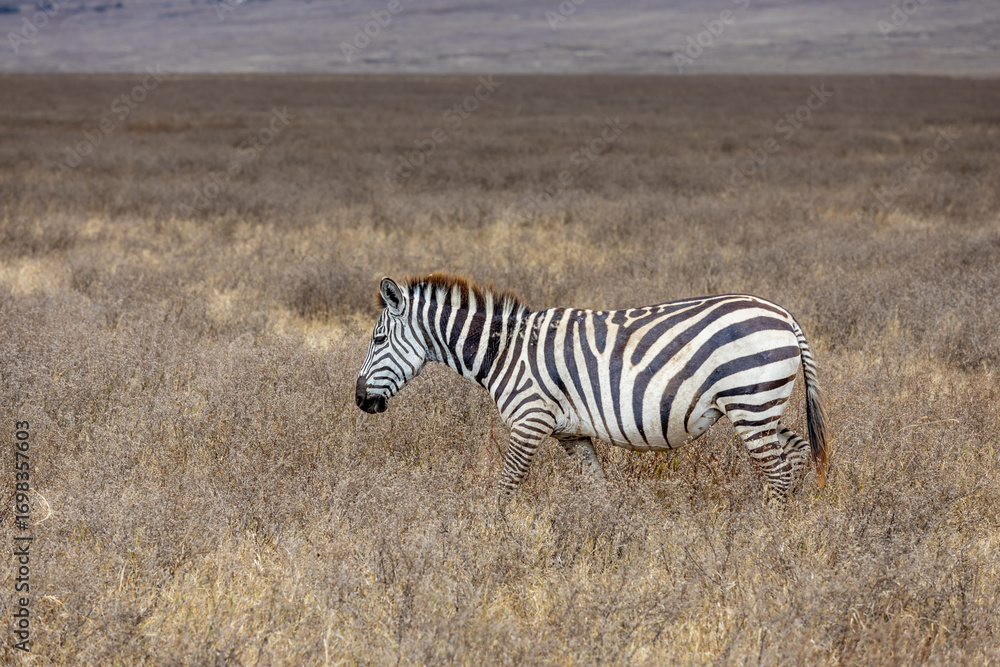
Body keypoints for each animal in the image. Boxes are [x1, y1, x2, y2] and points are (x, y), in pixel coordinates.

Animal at [355, 273, 829, 508]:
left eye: (378, 339)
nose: (359, 400)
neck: (502, 351)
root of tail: (783, 314)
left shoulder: (530, 419)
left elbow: (507, 486)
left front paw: (492, 536)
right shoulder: (572, 433)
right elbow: (596, 489)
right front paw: (607, 536)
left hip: (750, 401)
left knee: (777, 469)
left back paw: (764, 533)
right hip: (758, 405)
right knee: (795, 454)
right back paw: (788, 522)